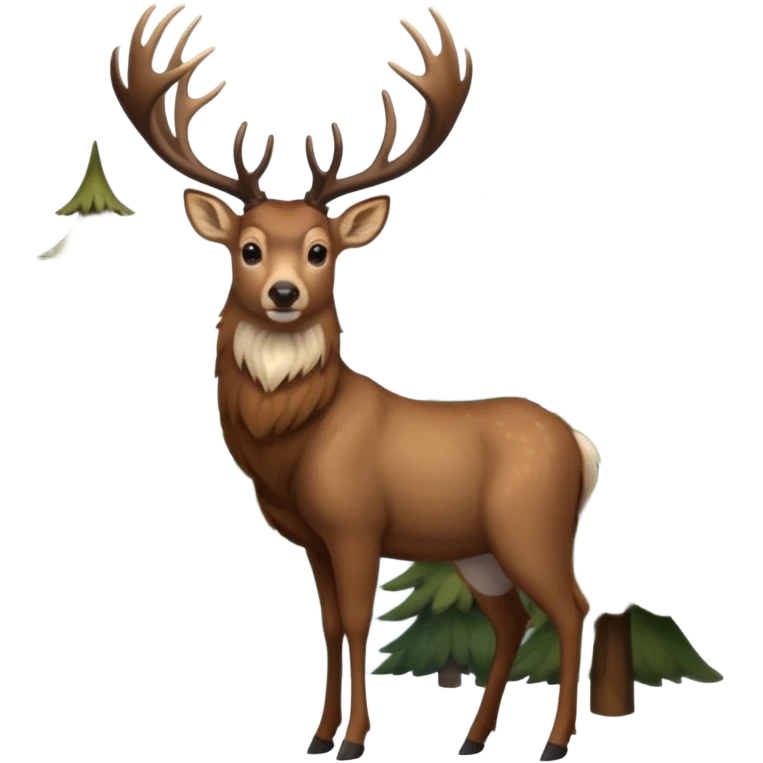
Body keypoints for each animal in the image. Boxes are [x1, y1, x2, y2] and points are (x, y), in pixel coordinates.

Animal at [111, 4, 600, 760]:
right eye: (248, 248)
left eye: (320, 250)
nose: (283, 292)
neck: (292, 445)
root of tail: (579, 443)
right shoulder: (311, 536)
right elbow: (335, 623)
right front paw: (319, 734)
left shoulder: (356, 522)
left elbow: (364, 618)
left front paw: (353, 739)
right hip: (479, 551)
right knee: (513, 619)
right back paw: (473, 737)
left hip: (530, 526)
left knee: (572, 608)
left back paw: (554, 740)